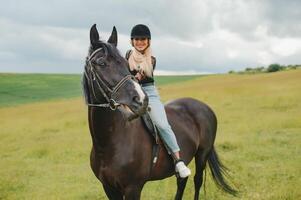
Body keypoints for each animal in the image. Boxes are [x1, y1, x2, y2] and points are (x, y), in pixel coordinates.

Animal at [82, 24, 237, 199]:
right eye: (101, 63)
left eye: (124, 63)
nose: (141, 100)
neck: (109, 143)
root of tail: (204, 106)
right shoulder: (109, 188)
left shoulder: (133, 188)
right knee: (182, 181)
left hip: (202, 154)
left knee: (197, 181)